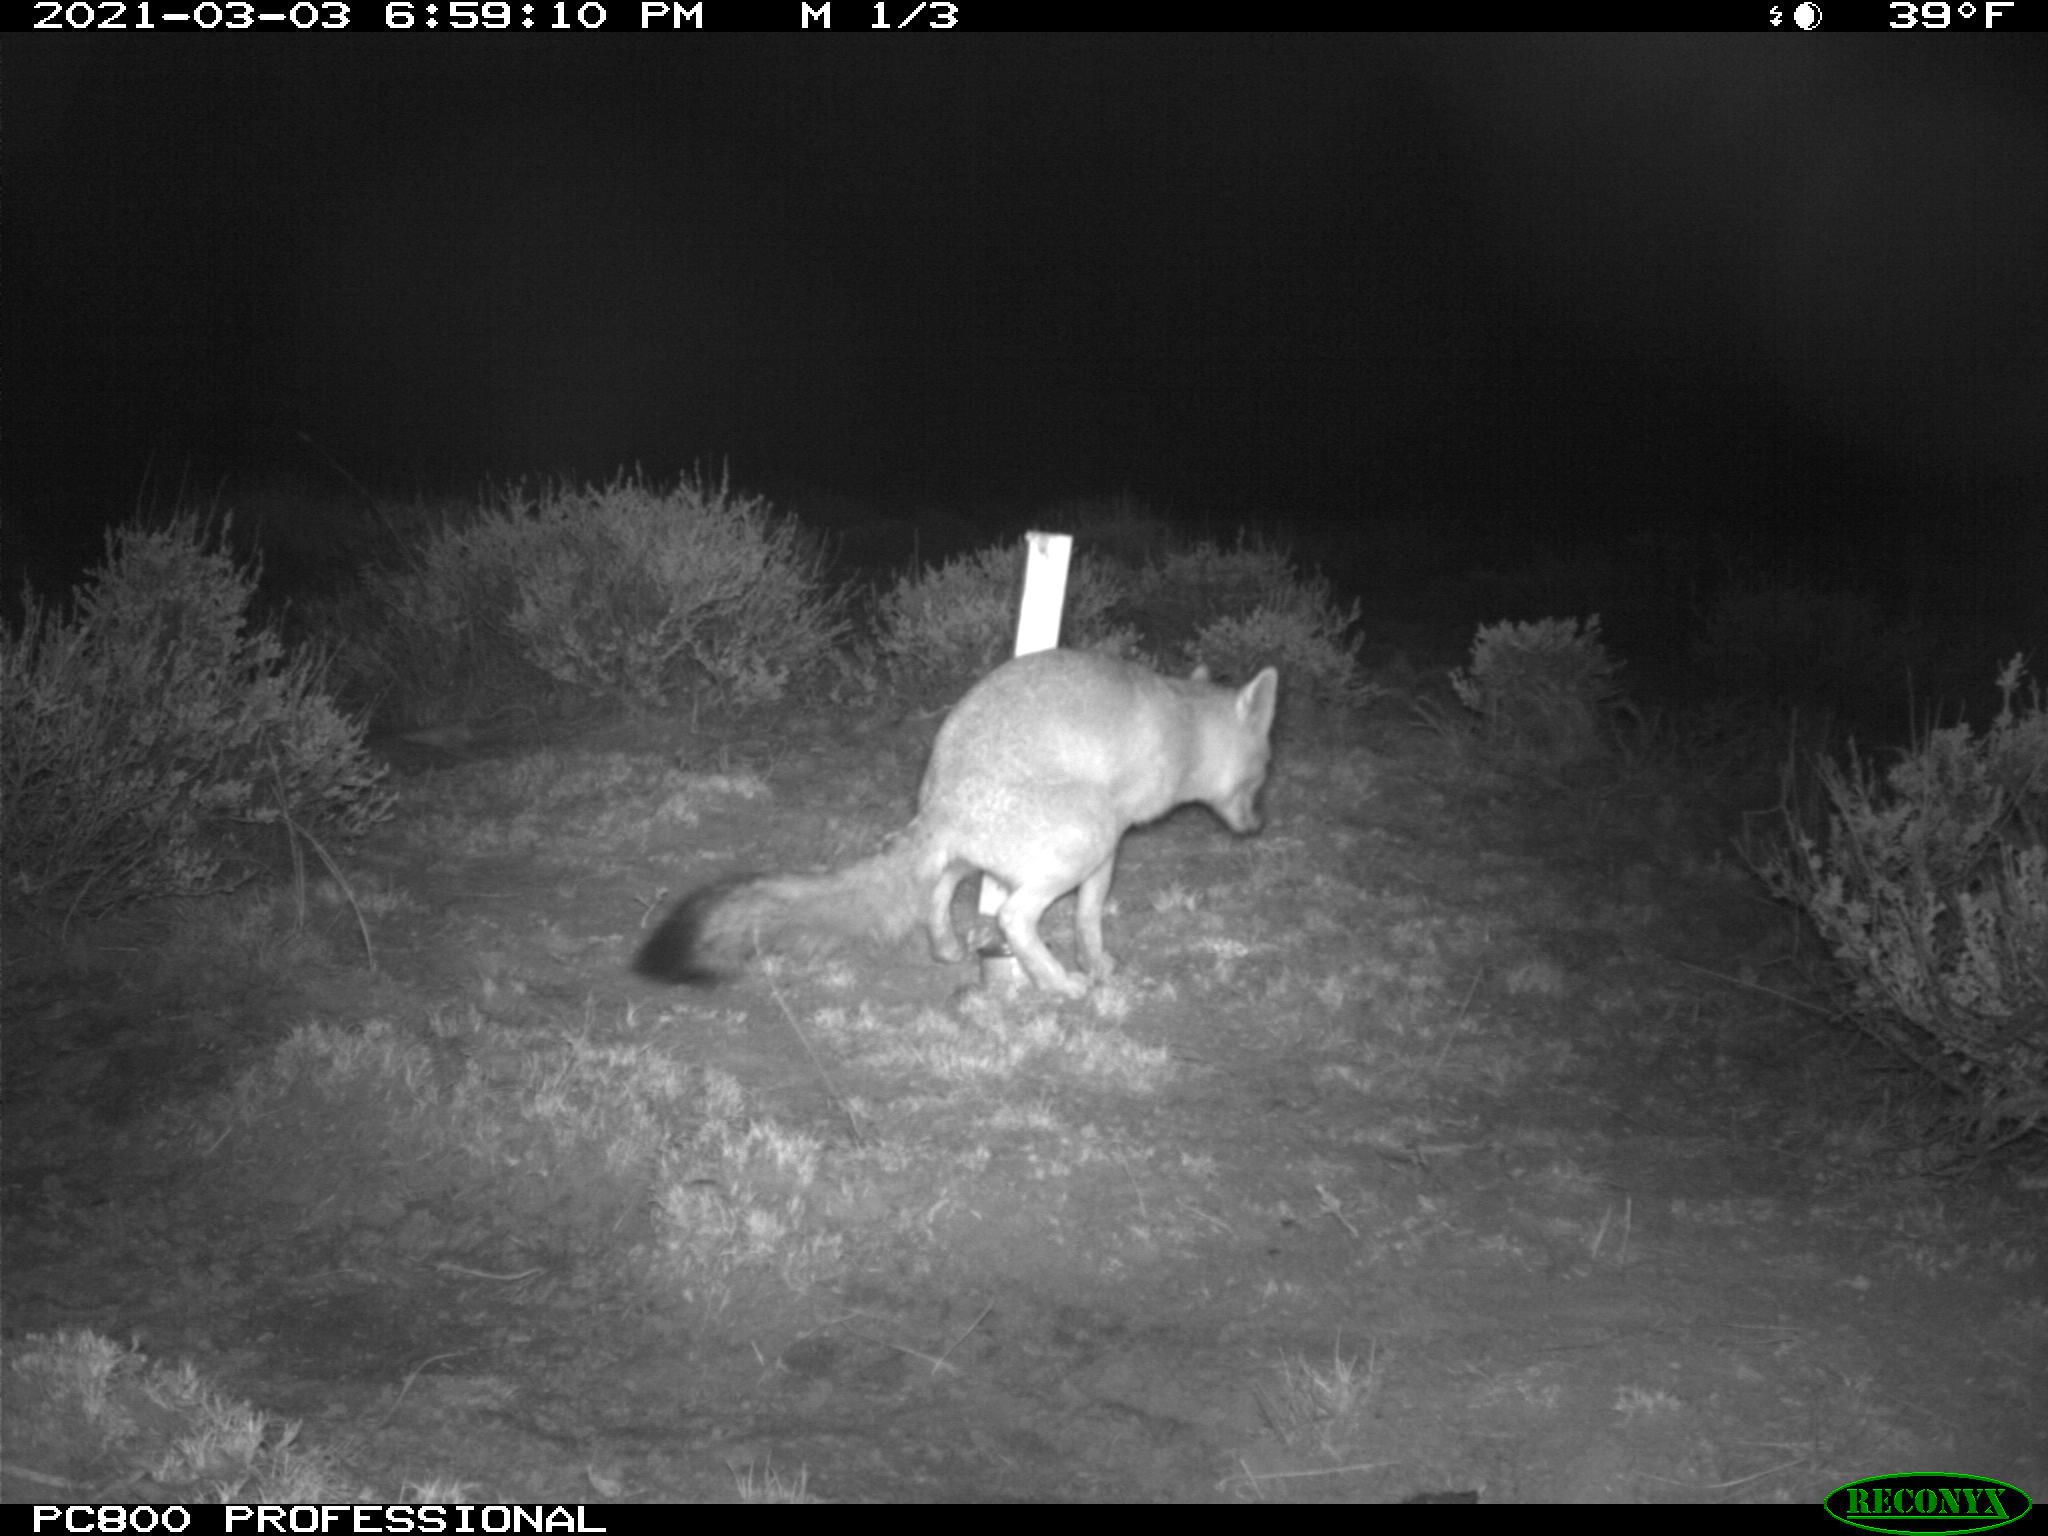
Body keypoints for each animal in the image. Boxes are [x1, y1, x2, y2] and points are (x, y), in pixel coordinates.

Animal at [634, 647, 1277, 999]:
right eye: (1265, 772)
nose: (1258, 828)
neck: (1183, 727)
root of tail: (941, 805)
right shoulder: (1114, 839)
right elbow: (1090, 918)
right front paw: (1094, 968)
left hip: (963, 857)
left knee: (939, 896)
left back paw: (948, 951)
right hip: (1084, 835)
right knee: (1014, 916)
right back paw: (1057, 983)